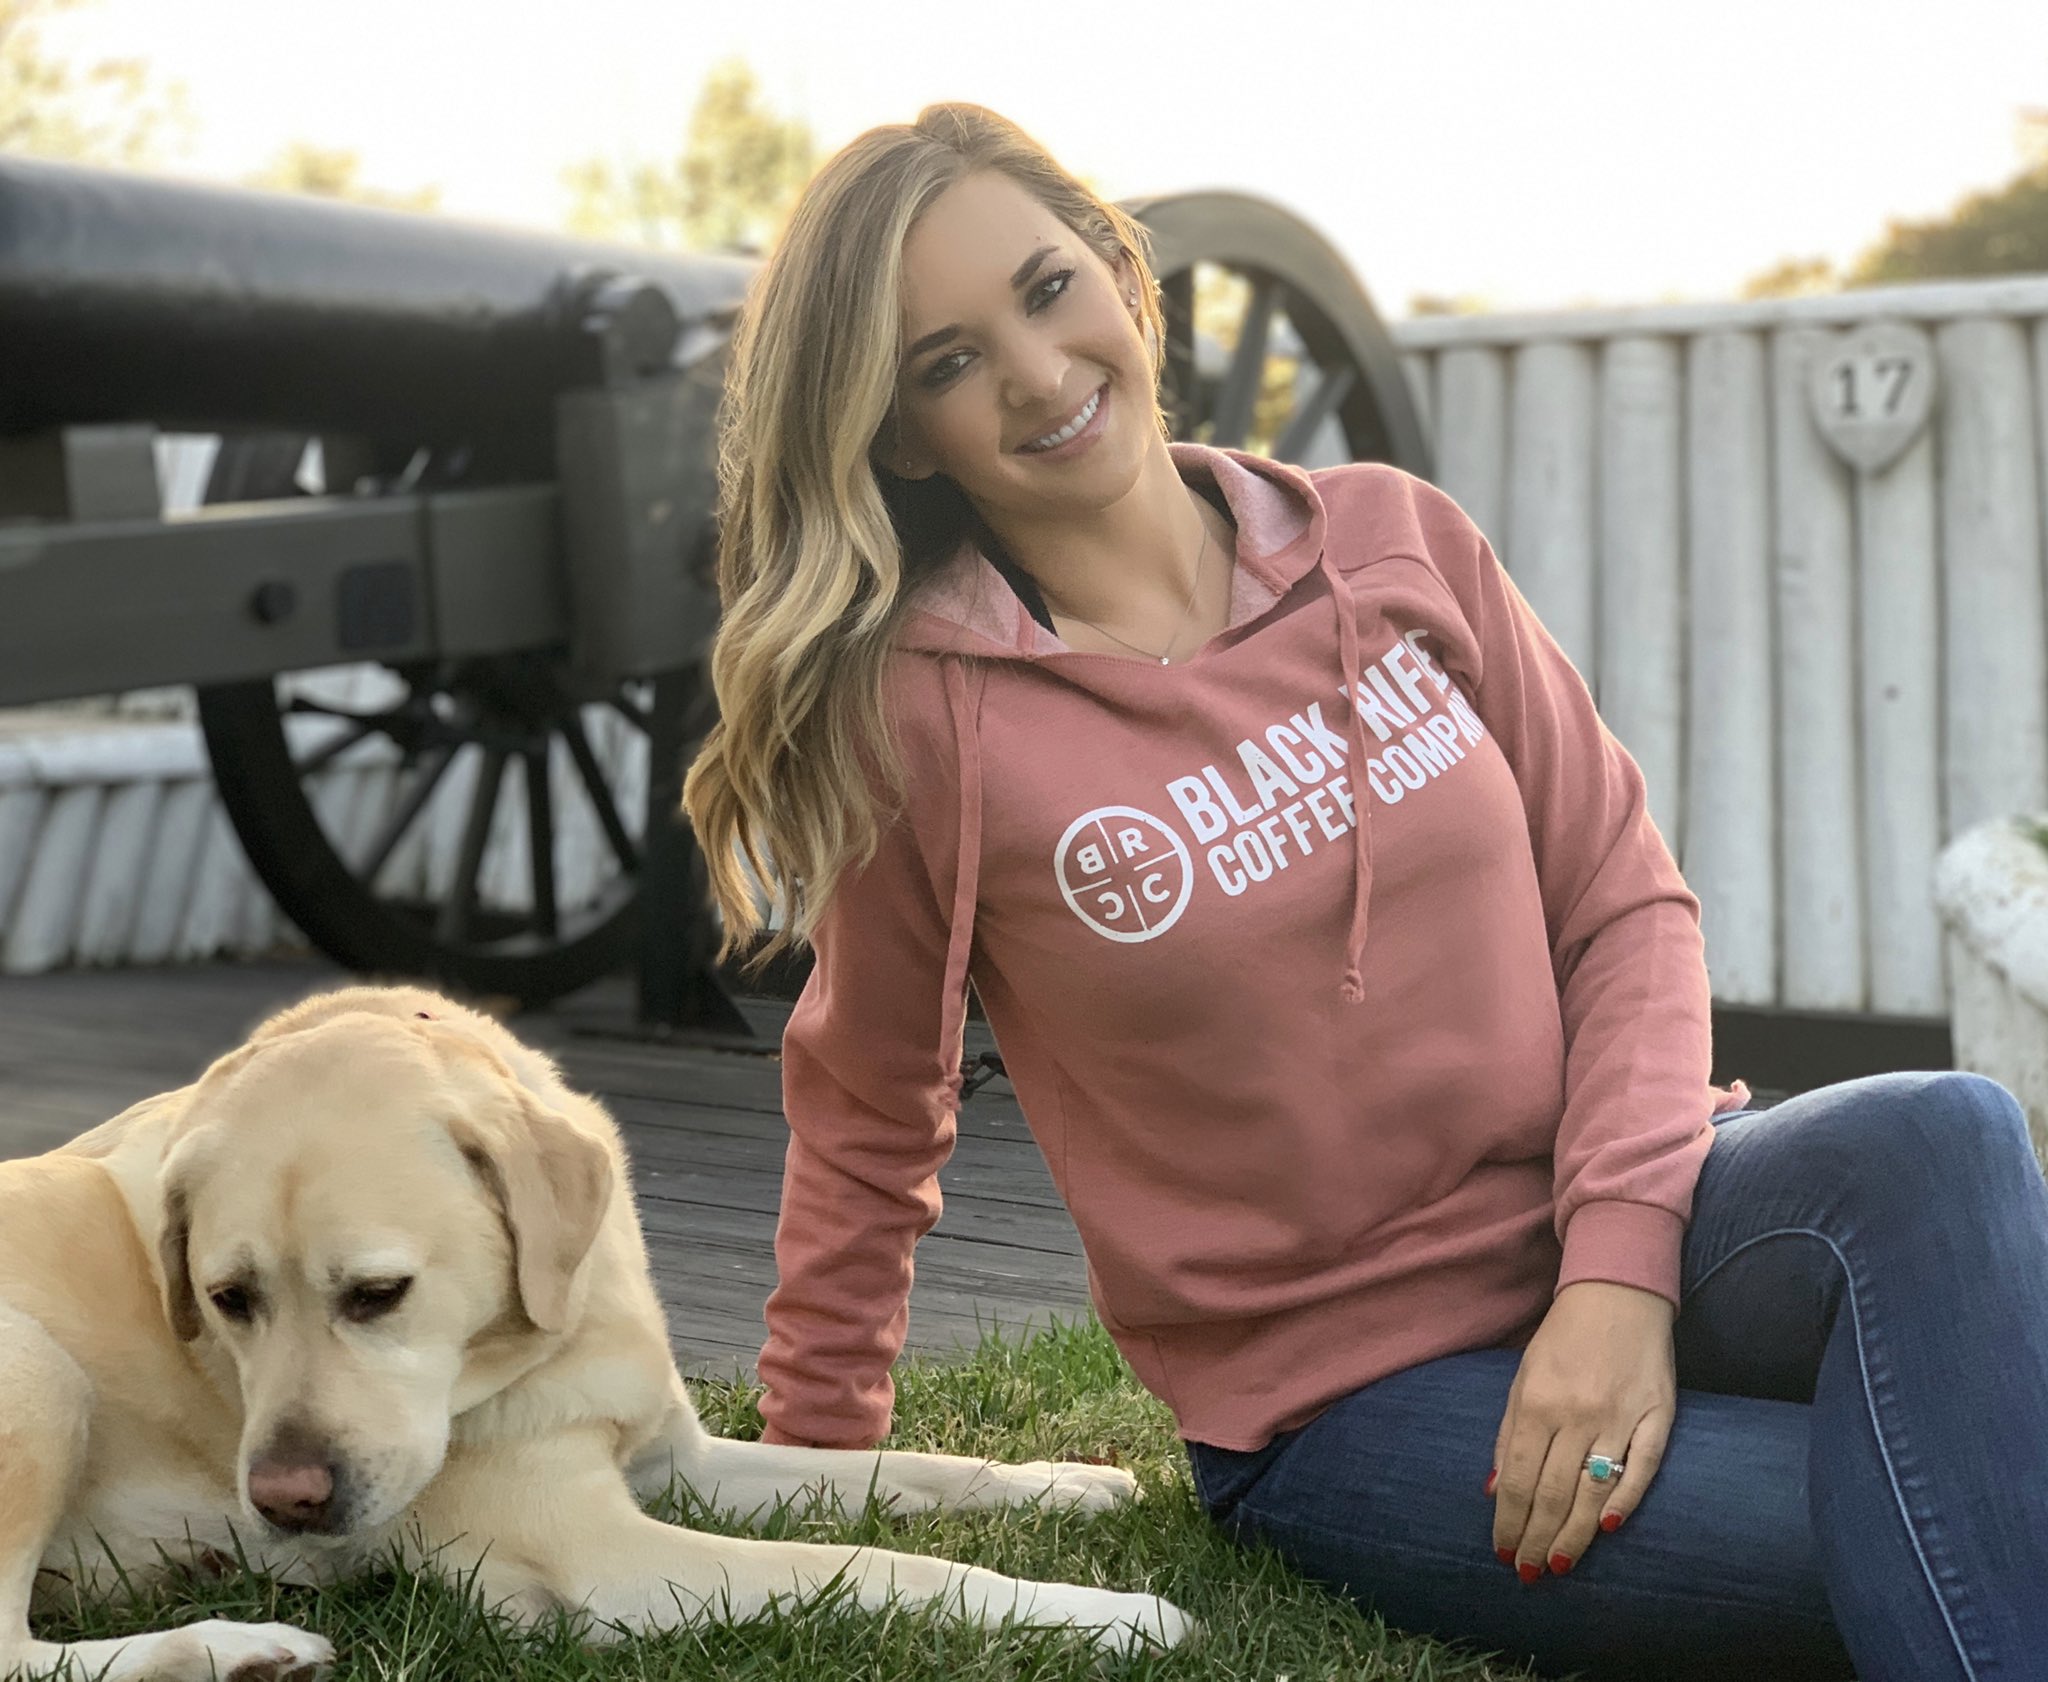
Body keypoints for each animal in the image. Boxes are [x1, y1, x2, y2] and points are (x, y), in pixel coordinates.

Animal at [0, 979, 1196, 1671]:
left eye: (377, 1293)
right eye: (227, 1298)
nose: (285, 1501)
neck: (548, 1332)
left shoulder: (681, 1461)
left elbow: (902, 1470)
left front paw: (1066, 1483)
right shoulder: (603, 1557)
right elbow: (877, 1564)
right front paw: (1110, 1614)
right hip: (43, 1378)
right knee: (14, 1657)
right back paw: (237, 1644)